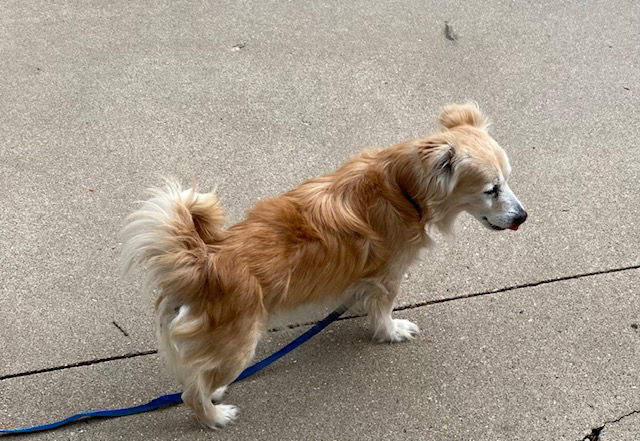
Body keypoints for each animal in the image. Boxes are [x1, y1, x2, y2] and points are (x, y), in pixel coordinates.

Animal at [122, 102, 528, 426]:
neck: (401, 187)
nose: (523, 216)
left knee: (196, 377)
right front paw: (390, 331)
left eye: (507, 180)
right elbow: (383, 310)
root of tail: (202, 262)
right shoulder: (388, 276)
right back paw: (215, 416)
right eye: (491, 189)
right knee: (191, 391)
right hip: (238, 345)